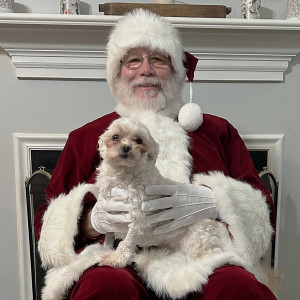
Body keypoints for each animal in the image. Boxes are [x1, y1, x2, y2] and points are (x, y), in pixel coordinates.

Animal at [95, 118, 229, 270]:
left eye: (139, 140)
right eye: (115, 136)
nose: (126, 147)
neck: (123, 174)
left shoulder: (138, 216)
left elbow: (127, 242)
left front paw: (116, 259)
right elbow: (108, 231)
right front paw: (106, 247)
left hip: (197, 241)